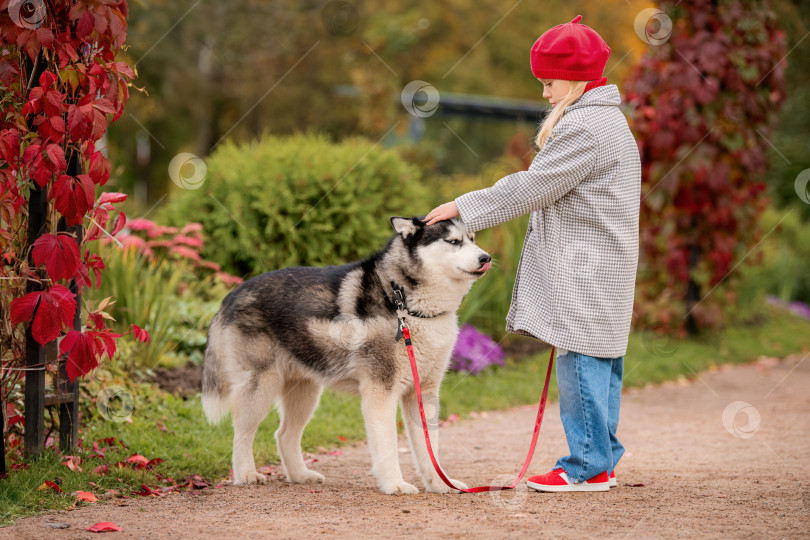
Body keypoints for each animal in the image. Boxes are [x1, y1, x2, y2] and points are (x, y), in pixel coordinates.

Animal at [205, 216, 490, 494]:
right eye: (453, 241)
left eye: (472, 239)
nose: (485, 257)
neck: (407, 305)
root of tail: (233, 293)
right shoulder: (380, 392)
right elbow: (387, 446)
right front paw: (394, 484)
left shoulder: (424, 392)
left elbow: (429, 449)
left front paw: (440, 484)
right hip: (261, 387)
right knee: (242, 434)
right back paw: (246, 474)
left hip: (305, 393)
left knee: (284, 435)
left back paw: (300, 475)